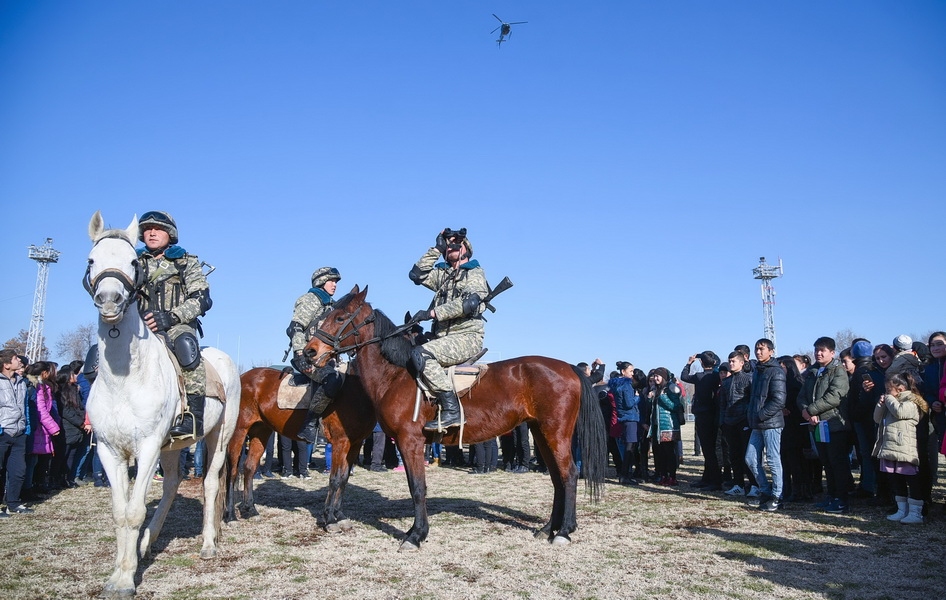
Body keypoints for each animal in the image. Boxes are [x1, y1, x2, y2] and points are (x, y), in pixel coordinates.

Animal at [85, 213, 240, 596]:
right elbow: (120, 511)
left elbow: (134, 511)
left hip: (218, 437)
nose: (109, 300)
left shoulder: (148, 445)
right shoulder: (110, 450)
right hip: (173, 446)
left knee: (210, 483)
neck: (123, 378)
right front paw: (119, 572)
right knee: (171, 484)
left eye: (132, 262)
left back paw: (208, 544)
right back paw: (146, 543)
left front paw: (126, 579)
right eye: (92, 260)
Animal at [225, 366, 376, 528]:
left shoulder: (355, 444)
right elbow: (335, 479)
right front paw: (329, 519)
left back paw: (251, 510)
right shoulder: (340, 443)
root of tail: (242, 377)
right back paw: (230, 516)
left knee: (249, 468)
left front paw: (339, 515)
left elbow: (344, 478)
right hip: (239, 431)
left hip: (261, 431)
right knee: (232, 472)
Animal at [306, 284, 608, 548]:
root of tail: (568, 367)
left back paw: (564, 531)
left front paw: (416, 535)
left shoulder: (410, 441)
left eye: (340, 317)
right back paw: (549, 528)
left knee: (569, 475)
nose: (311, 351)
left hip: (555, 433)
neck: (395, 376)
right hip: (541, 433)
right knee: (557, 478)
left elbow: (417, 487)